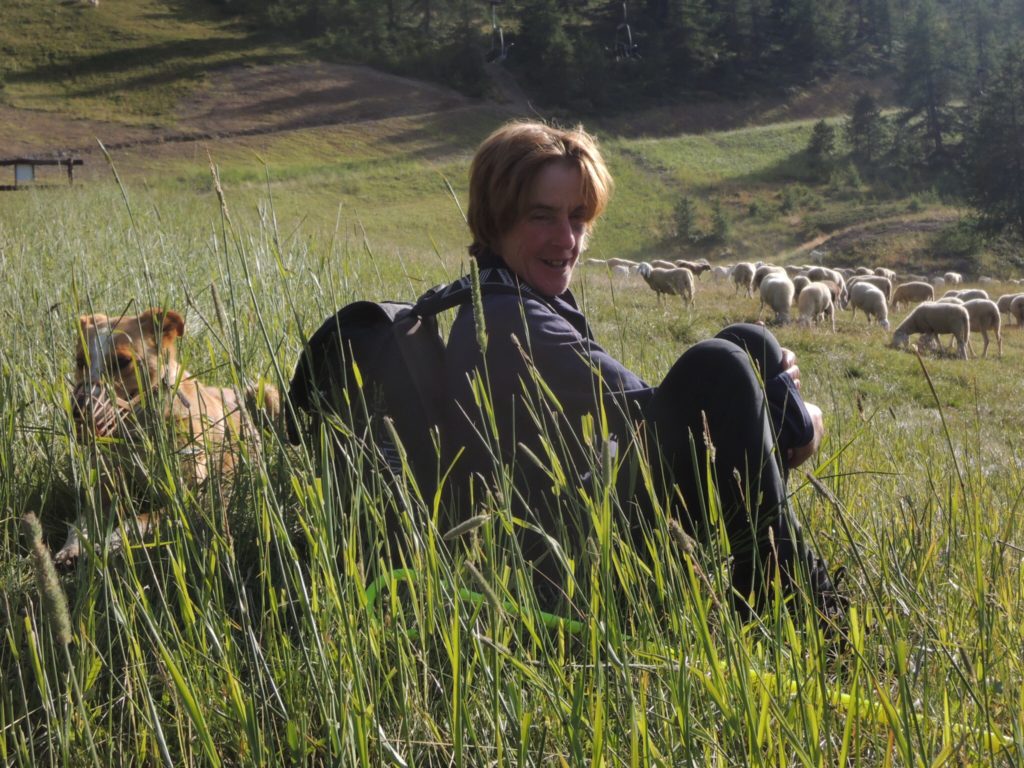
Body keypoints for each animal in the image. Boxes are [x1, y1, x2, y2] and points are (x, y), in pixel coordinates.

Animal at [54, 307, 280, 565]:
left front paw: (111, 542)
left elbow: (138, 520)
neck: (137, 435)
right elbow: (80, 521)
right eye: (80, 361)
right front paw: (72, 547)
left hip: (266, 394)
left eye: (122, 361)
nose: (77, 410)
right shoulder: (102, 491)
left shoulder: (186, 499)